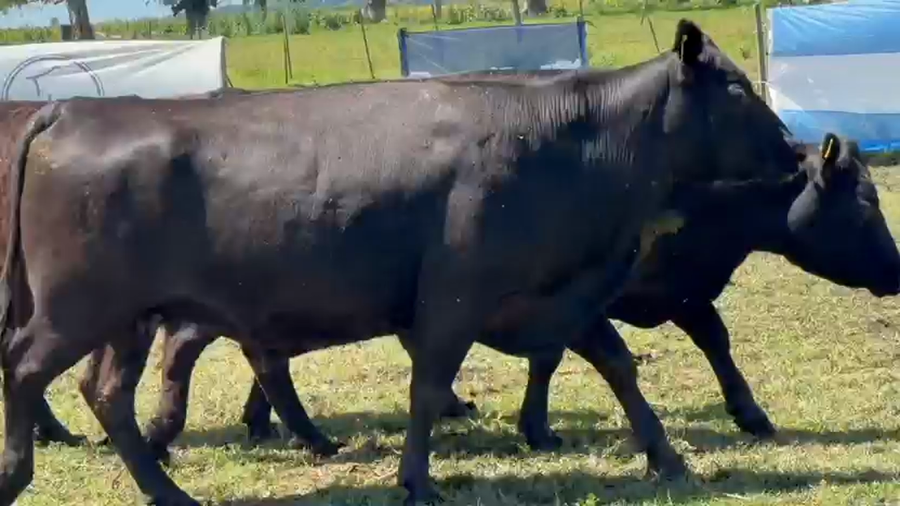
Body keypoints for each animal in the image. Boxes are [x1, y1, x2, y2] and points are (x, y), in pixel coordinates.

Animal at [0, 20, 805, 506]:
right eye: (737, 87)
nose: (796, 151)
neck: (565, 140)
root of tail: (72, 110)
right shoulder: (454, 299)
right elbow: (428, 388)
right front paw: (415, 480)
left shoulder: (554, 295)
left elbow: (618, 367)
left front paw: (667, 458)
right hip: (76, 310)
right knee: (26, 370)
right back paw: (17, 474)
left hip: (126, 319)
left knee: (106, 393)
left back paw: (166, 492)